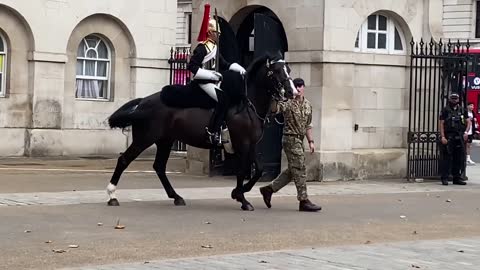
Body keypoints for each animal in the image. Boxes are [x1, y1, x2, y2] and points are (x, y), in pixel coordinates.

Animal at [105, 53, 296, 211]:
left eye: (288, 70)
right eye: (276, 71)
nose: (292, 92)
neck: (247, 105)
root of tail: (143, 101)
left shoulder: (251, 144)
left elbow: (259, 170)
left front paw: (238, 192)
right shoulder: (242, 143)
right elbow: (242, 171)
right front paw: (242, 199)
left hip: (165, 141)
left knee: (159, 166)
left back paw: (176, 197)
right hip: (145, 139)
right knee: (124, 160)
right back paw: (112, 195)